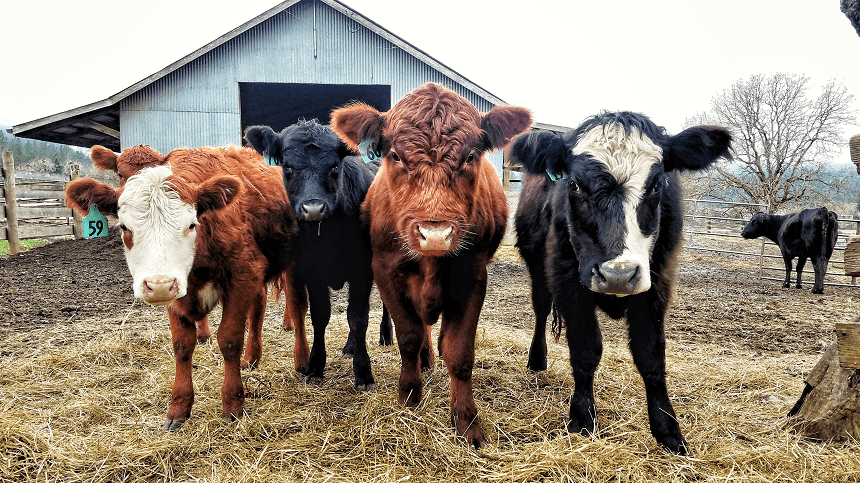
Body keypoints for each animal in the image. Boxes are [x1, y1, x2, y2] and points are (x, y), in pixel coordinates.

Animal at [65, 145, 298, 432]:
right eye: (124, 227)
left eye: (191, 224)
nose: (159, 285)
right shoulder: (179, 294)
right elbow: (182, 346)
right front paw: (179, 406)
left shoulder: (244, 274)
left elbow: (229, 339)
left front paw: (233, 404)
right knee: (259, 307)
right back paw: (252, 358)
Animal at [240, 119, 392, 392]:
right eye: (287, 166)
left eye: (334, 165)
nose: (313, 208)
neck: (327, 234)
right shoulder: (312, 271)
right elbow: (320, 316)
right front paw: (315, 367)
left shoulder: (362, 268)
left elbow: (358, 317)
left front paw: (363, 373)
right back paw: (350, 346)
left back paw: (385, 335)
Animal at [330, 81, 532, 448]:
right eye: (395, 155)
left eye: (471, 155)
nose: (435, 234)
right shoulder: (385, 271)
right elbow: (408, 336)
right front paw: (409, 396)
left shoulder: (473, 274)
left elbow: (460, 351)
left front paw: (467, 421)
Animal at [508, 110, 736, 454]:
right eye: (574, 184)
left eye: (657, 185)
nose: (618, 274)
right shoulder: (568, 281)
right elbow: (586, 349)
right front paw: (582, 419)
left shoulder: (656, 283)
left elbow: (650, 353)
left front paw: (668, 430)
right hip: (536, 266)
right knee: (541, 308)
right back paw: (537, 359)